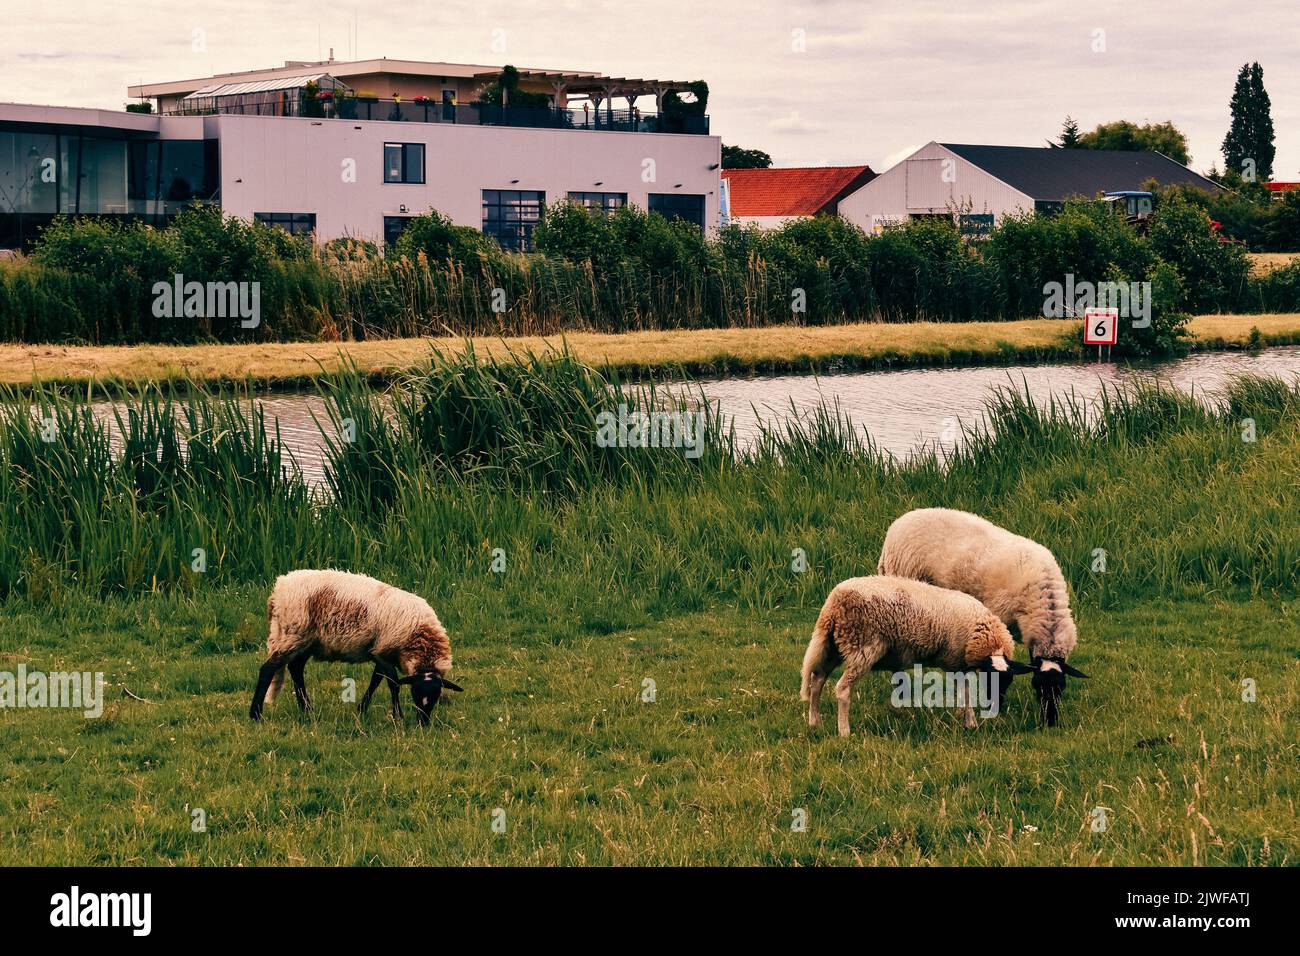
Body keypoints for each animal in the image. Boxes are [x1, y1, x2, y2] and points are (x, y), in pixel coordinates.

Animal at [246, 572, 462, 728]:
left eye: (436, 695)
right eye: (415, 692)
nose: (423, 723)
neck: (420, 636)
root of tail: (278, 590)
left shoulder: (381, 652)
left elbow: (376, 681)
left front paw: (362, 709)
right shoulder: (382, 651)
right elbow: (392, 684)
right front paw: (398, 717)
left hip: (307, 641)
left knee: (296, 668)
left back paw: (307, 709)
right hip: (291, 634)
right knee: (267, 670)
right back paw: (256, 715)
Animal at [795, 574, 1029, 738]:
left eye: (1008, 681)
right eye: (989, 678)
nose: (996, 706)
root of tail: (833, 604)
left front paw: (970, 723)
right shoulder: (955, 661)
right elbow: (965, 693)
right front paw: (969, 722)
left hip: (833, 646)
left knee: (817, 680)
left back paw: (814, 722)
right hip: (863, 647)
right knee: (842, 688)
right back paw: (844, 731)